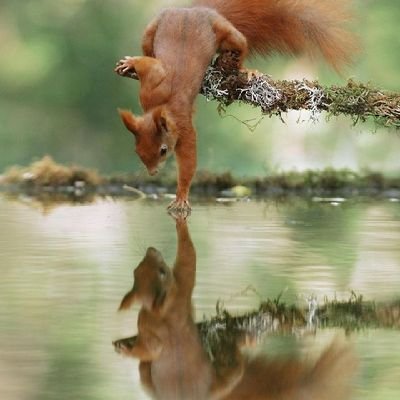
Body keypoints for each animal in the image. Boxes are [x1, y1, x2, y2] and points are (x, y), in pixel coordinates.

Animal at [115, 0, 356, 212]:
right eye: (137, 151)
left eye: (163, 150)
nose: (153, 172)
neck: (160, 107)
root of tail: (197, 9)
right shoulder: (151, 87)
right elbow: (148, 64)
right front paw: (130, 63)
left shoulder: (183, 127)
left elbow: (189, 163)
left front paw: (181, 197)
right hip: (152, 29)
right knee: (148, 47)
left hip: (225, 33)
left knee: (239, 44)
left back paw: (245, 70)